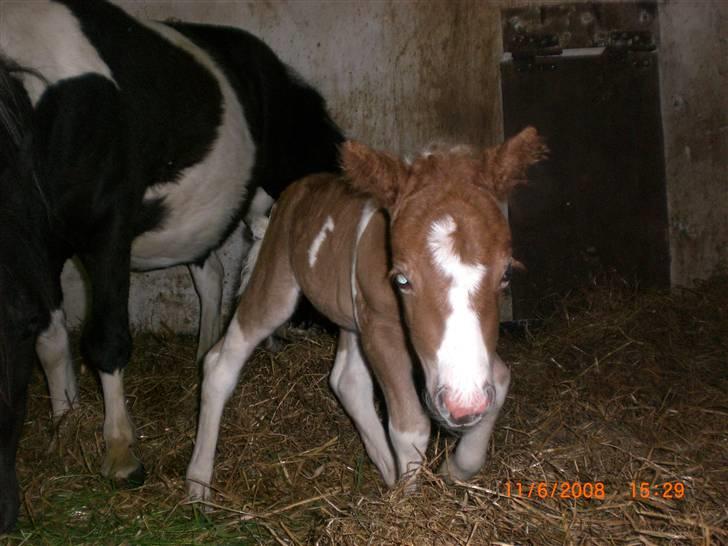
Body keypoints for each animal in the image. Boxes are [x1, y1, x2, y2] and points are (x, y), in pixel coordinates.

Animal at [0, 0, 344, 528]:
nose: (4, 511)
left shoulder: (108, 227)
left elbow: (106, 341)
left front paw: (120, 452)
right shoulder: (41, 241)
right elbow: (53, 339)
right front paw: (65, 421)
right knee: (214, 273)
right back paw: (208, 351)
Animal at [185, 127, 544, 498]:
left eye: (507, 273)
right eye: (402, 280)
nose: (463, 404)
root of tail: (290, 195)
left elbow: (500, 379)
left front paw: (454, 469)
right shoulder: (381, 329)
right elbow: (410, 427)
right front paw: (407, 499)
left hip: (351, 315)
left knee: (347, 381)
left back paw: (386, 469)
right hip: (278, 282)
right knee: (221, 363)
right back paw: (198, 484)